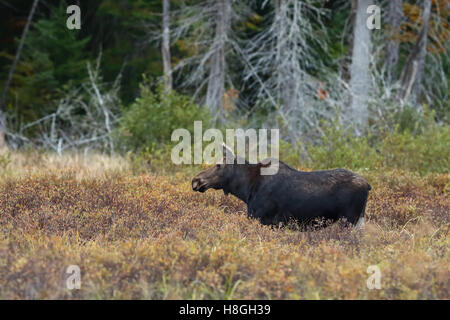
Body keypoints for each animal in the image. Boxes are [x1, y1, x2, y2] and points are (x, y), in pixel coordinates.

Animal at [192, 144, 370, 229]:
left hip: (349, 220)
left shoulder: (263, 219)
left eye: (218, 165)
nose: (196, 180)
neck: (246, 189)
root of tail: (368, 186)